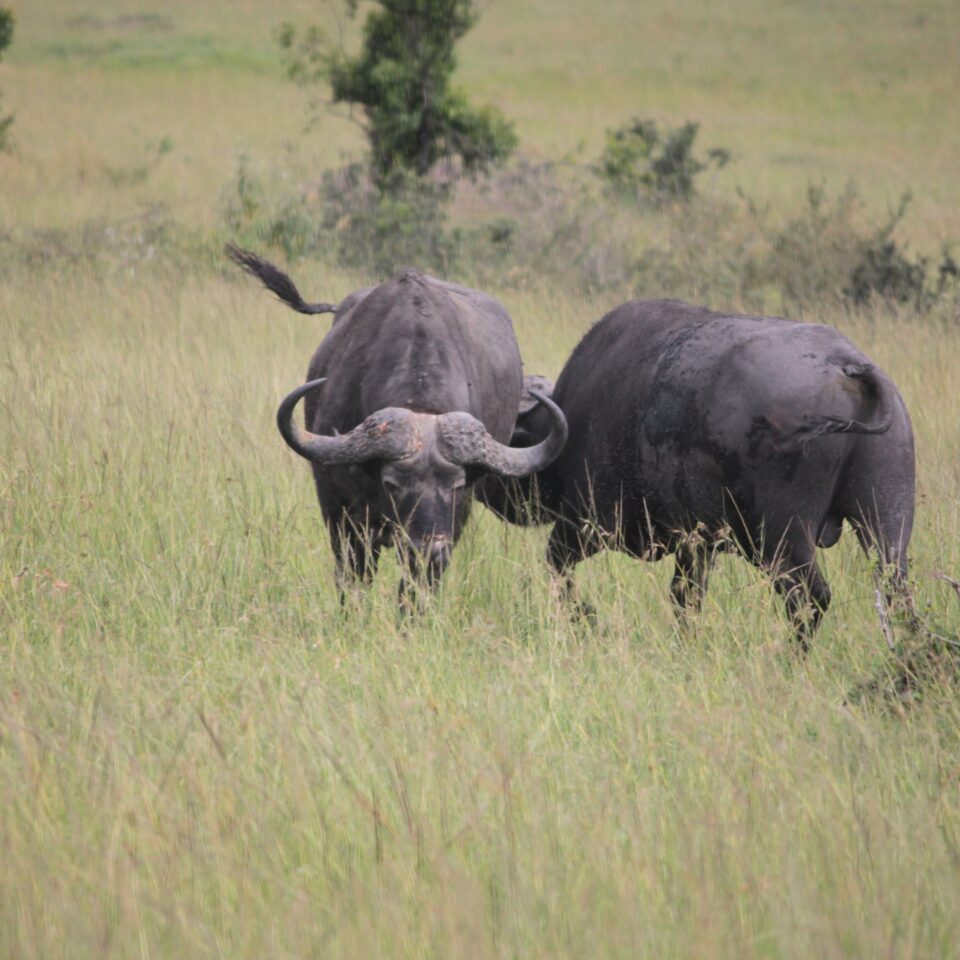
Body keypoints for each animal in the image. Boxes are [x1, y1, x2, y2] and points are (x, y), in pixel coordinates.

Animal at [480, 300, 916, 644]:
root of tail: (845, 365)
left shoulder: (586, 523)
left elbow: (557, 567)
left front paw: (586, 618)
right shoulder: (696, 545)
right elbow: (685, 597)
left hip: (782, 537)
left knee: (810, 598)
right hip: (887, 519)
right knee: (897, 593)